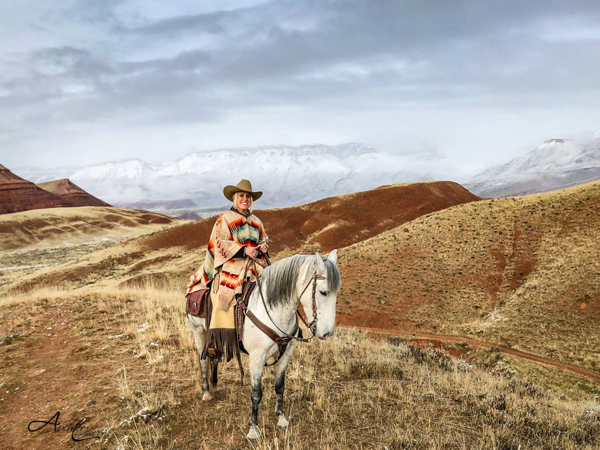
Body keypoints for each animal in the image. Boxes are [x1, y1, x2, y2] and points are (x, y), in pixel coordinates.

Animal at [188, 251, 340, 442]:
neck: (274, 310)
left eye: (337, 292)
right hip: (199, 332)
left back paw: (215, 388)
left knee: (214, 358)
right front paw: (253, 429)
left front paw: (281, 418)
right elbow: (256, 394)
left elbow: (280, 387)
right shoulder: (256, 359)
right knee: (203, 361)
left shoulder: (285, 355)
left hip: (215, 335)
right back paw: (207, 393)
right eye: (323, 292)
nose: (327, 333)